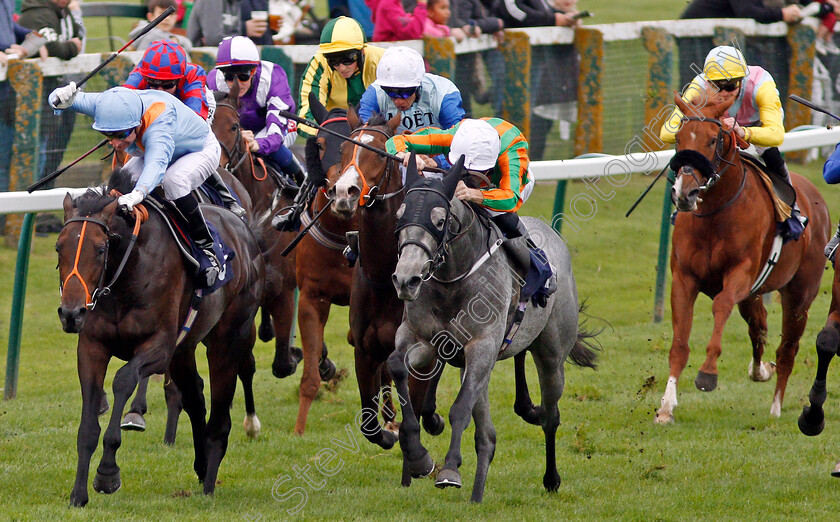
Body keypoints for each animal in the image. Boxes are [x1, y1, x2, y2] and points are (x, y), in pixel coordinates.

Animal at [58, 170, 264, 504]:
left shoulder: (159, 347)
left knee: (221, 414)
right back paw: (201, 466)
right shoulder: (92, 347)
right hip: (185, 349)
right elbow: (88, 424)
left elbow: (124, 380)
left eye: (101, 249)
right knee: (195, 397)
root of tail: (243, 226)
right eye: (58, 247)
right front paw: (78, 494)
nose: (71, 313)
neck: (127, 274)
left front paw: (107, 473)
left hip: (228, 337)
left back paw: (209, 484)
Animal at [388, 157, 596, 500]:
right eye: (400, 215)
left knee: (550, 416)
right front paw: (417, 456)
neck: (452, 279)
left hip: (552, 355)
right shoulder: (420, 339)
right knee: (488, 435)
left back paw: (551, 478)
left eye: (440, 220)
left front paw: (449, 469)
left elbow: (460, 407)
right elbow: (396, 367)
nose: (406, 279)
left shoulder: (482, 347)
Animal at [656, 93, 832, 422]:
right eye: (679, 136)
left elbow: (722, 305)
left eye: (713, 139)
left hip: (800, 294)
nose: (684, 194)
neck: (715, 212)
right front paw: (666, 407)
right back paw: (760, 371)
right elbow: (679, 344)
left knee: (787, 348)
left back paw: (776, 407)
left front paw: (707, 373)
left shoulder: (740, 274)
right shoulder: (684, 279)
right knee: (758, 327)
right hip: (754, 294)